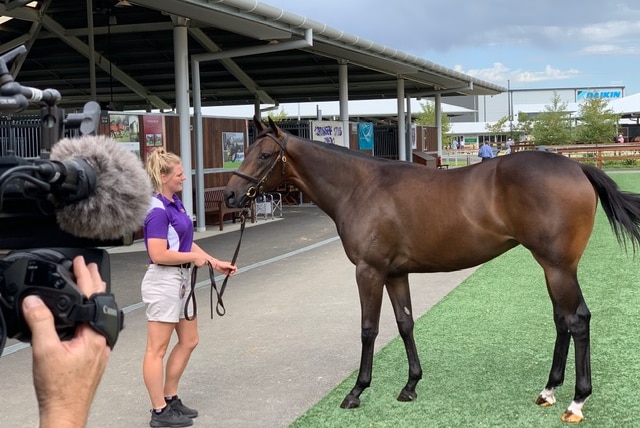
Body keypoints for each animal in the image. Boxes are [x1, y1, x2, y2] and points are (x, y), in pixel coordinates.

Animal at [222, 116, 640, 422]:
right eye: (246, 150)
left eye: (264, 155)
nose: (229, 195)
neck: (360, 187)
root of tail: (577, 167)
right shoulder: (395, 273)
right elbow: (405, 323)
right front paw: (410, 386)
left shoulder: (369, 271)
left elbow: (369, 329)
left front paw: (356, 391)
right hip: (552, 268)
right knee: (562, 320)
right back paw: (549, 390)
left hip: (558, 267)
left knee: (577, 320)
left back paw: (576, 402)